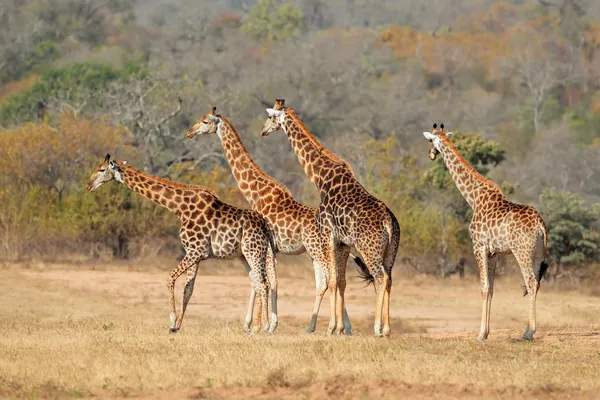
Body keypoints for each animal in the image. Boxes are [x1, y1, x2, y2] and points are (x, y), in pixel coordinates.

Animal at [86, 153, 278, 334]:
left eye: (101, 169)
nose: (88, 185)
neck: (179, 208)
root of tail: (265, 225)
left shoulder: (196, 250)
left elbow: (170, 278)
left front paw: (171, 320)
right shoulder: (196, 254)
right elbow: (188, 288)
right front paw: (176, 326)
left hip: (254, 251)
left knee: (264, 284)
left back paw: (262, 327)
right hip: (245, 255)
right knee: (260, 282)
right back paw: (259, 326)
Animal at [185, 106, 368, 334]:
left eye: (204, 121)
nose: (189, 132)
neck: (256, 193)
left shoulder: (265, 247)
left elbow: (267, 282)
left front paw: (261, 325)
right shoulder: (269, 248)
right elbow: (263, 282)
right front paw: (258, 324)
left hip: (318, 250)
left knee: (330, 280)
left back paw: (332, 327)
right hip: (328, 252)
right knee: (336, 280)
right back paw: (342, 327)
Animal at [260, 98, 400, 336]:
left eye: (271, 117)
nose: (263, 131)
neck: (321, 179)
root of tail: (388, 222)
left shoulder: (327, 235)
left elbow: (332, 281)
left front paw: (331, 328)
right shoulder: (343, 243)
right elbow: (341, 281)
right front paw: (340, 329)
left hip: (369, 249)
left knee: (380, 278)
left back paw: (378, 328)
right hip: (390, 251)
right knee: (389, 278)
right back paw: (389, 329)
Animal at [422, 122, 548, 340]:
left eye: (430, 140)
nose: (430, 155)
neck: (474, 198)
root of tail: (540, 224)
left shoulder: (478, 246)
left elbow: (483, 287)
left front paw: (480, 334)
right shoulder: (493, 253)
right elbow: (491, 289)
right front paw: (487, 332)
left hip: (522, 252)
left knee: (531, 281)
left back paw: (529, 332)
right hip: (538, 253)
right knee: (537, 282)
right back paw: (527, 329)